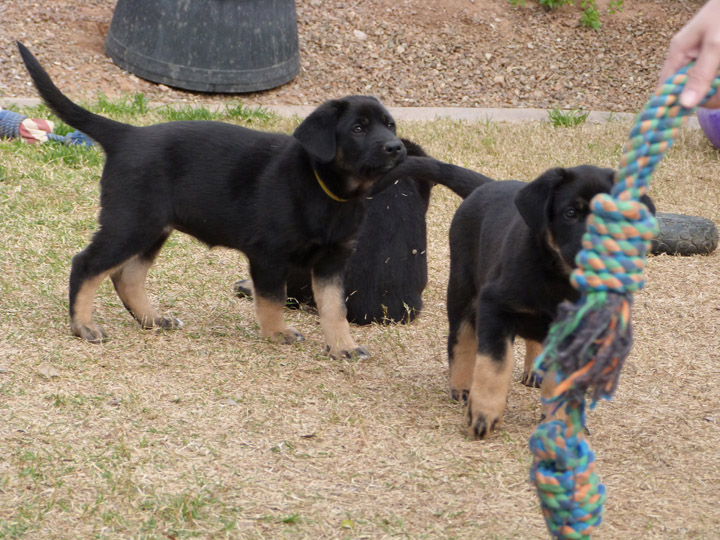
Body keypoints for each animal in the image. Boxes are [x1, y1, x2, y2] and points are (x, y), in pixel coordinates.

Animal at [18, 43, 410, 358]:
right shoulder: (268, 255)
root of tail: (127, 134)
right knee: (86, 264)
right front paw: (277, 333)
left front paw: (343, 347)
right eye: (358, 129)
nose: (397, 148)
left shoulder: (332, 261)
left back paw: (152, 319)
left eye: (389, 125)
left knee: (127, 276)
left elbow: (334, 308)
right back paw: (83, 325)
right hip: (130, 222)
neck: (330, 192)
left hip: (152, 227)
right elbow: (273, 299)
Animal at [448, 167, 656, 440]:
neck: (561, 278)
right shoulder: (495, 305)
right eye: (571, 213)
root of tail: (487, 185)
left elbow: (561, 383)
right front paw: (484, 414)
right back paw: (462, 387)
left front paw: (559, 423)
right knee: (461, 338)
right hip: (463, 287)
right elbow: (494, 364)